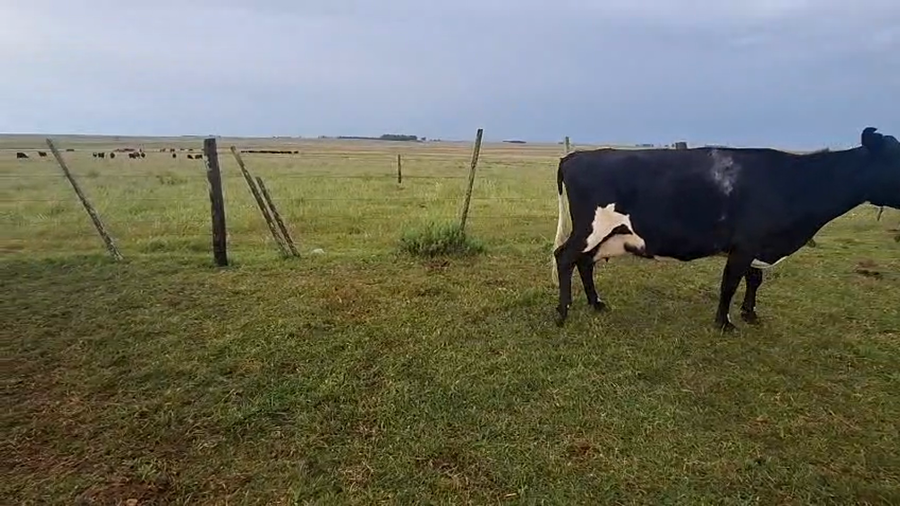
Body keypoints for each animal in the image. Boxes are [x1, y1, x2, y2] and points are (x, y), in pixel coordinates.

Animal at [551, 126, 900, 332]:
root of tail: (575, 155)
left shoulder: (757, 244)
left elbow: (754, 280)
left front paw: (750, 314)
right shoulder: (745, 245)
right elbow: (729, 283)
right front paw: (725, 322)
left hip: (605, 235)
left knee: (584, 262)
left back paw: (596, 304)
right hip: (590, 228)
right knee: (565, 257)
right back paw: (563, 313)